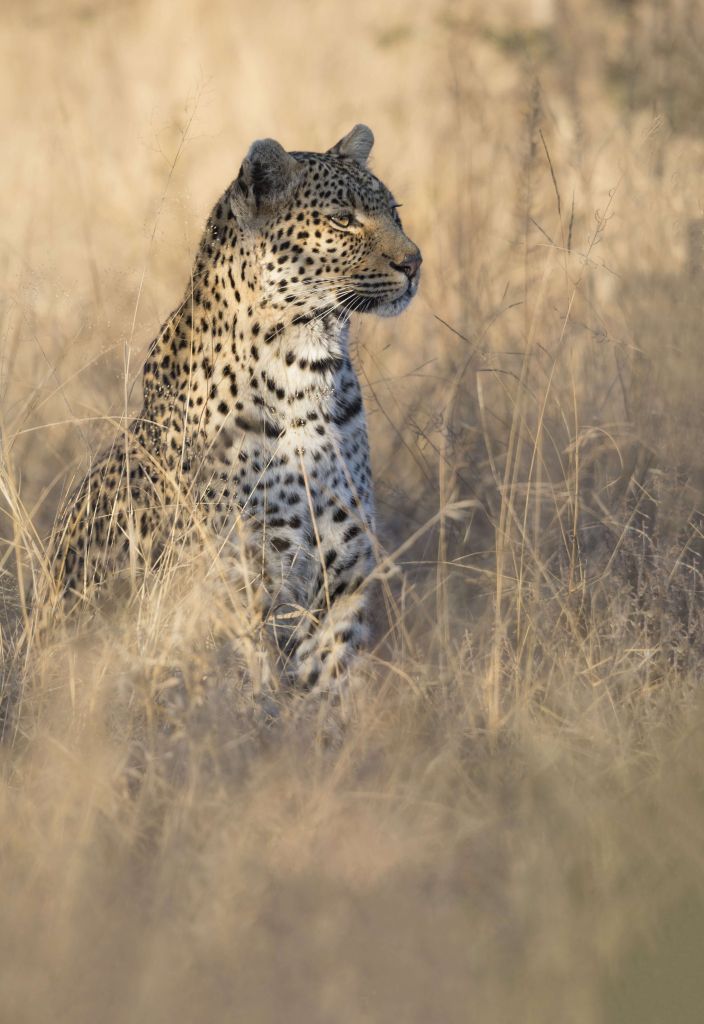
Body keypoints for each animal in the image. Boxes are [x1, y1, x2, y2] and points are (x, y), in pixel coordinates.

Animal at [38, 123, 421, 692]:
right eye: (342, 220)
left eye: (394, 211)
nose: (414, 263)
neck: (309, 369)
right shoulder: (237, 584)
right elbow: (248, 691)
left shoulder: (344, 581)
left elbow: (325, 691)